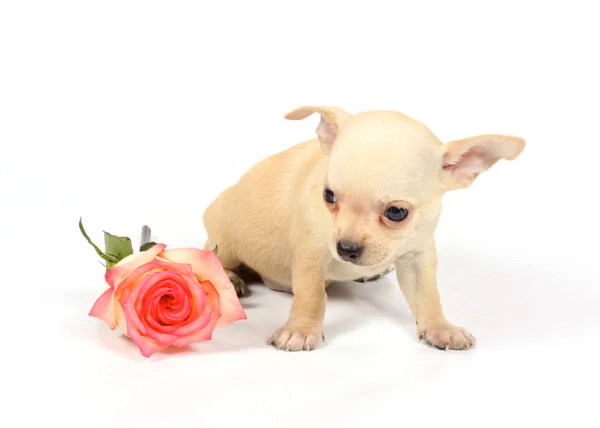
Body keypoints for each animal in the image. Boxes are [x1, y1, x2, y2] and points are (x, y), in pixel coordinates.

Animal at [203, 106, 524, 352]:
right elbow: (311, 296)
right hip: (224, 237)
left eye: (396, 213)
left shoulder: (417, 256)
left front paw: (440, 327)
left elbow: (427, 296)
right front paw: (300, 330)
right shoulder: (310, 254)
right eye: (328, 196)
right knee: (214, 255)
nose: (346, 249)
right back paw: (230, 278)